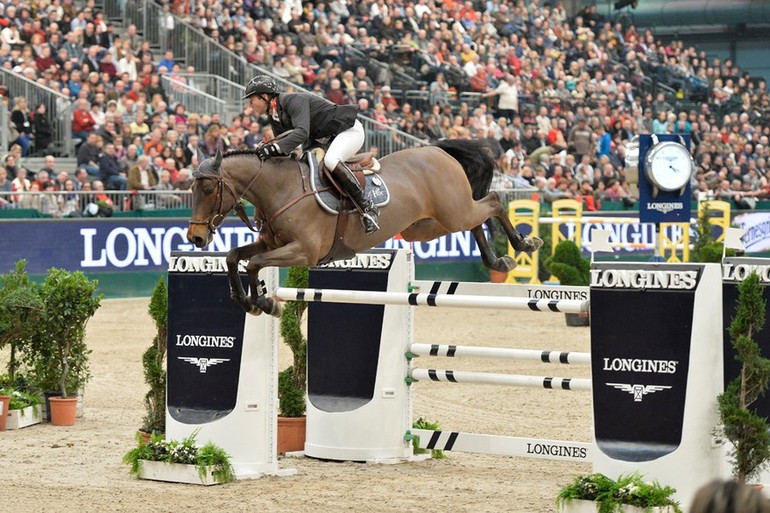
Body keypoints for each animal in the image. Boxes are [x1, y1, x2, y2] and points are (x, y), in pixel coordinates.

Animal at [185, 140, 540, 316]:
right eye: (191, 189)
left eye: (209, 189)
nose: (196, 237)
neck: (281, 189)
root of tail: (438, 150)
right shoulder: (273, 244)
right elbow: (234, 256)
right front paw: (245, 300)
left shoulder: (303, 252)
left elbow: (254, 263)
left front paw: (264, 303)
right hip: (427, 225)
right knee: (477, 220)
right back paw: (499, 260)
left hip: (453, 211)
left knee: (492, 201)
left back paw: (523, 245)